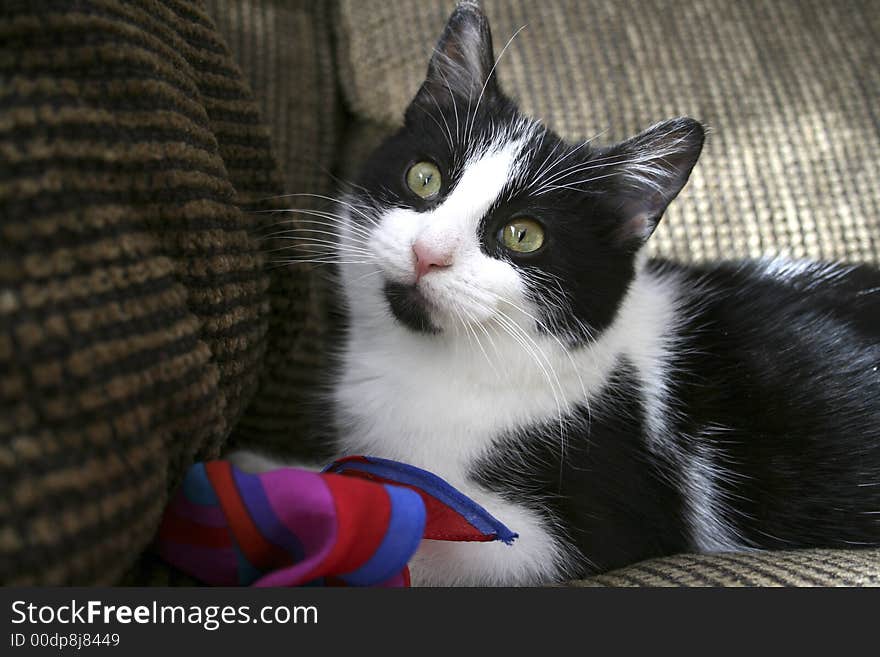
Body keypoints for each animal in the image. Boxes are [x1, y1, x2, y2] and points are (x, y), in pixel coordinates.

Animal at [241, 1, 880, 584]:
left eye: (523, 235)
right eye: (424, 177)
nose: (429, 252)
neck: (437, 368)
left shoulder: (599, 516)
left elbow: (427, 530)